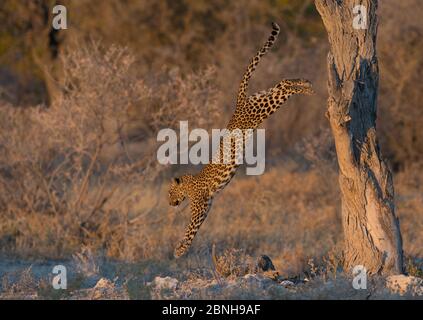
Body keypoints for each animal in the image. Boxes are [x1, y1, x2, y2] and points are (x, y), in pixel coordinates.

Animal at [170, 21, 314, 258]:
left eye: (169, 192)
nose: (169, 203)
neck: (190, 185)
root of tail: (239, 104)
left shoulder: (200, 207)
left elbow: (190, 230)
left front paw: (179, 251)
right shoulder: (207, 207)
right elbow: (192, 230)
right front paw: (179, 248)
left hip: (263, 108)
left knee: (284, 86)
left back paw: (307, 87)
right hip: (264, 98)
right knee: (281, 83)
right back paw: (305, 81)